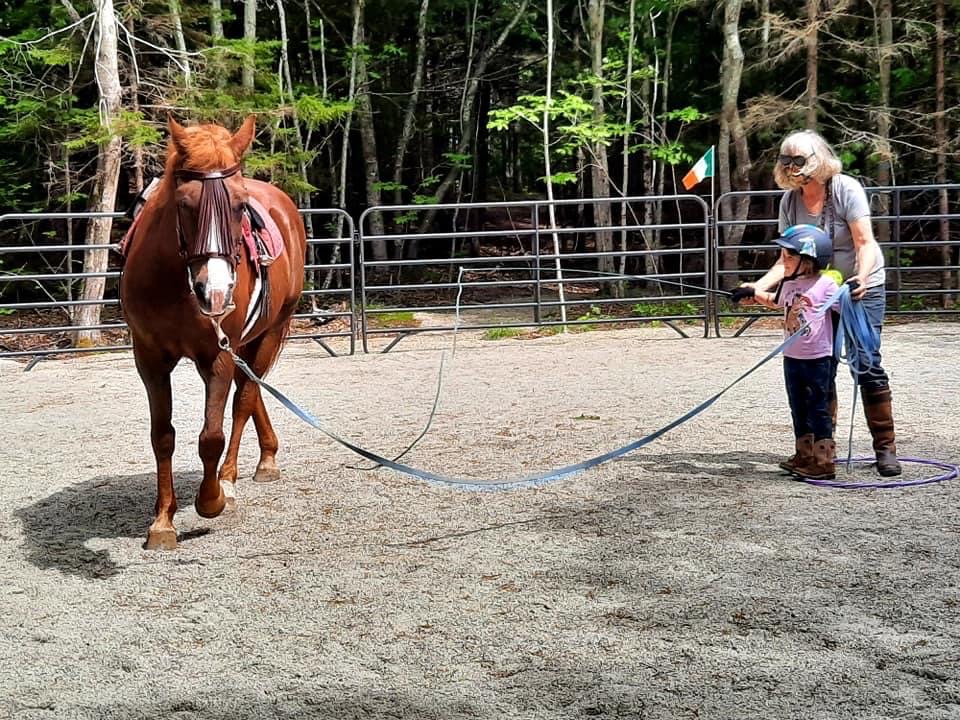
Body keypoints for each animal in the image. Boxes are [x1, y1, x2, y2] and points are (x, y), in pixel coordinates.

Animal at [120, 115, 306, 550]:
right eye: (185, 204)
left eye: (239, 206)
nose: (215, 291)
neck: (175, 286)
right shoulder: (149, 358)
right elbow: (162, 435)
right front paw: (162, 522)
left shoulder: (217, 355)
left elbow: (212, 435)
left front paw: (211, 499)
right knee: (249, 390)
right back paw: (266, 456)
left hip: (268, 332)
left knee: (244, 401)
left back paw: (234, 478)